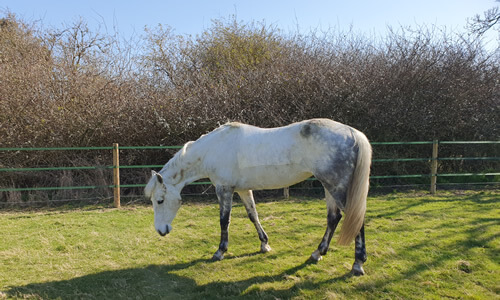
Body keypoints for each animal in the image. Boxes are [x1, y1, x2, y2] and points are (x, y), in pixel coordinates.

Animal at [145, 118, 372, 276]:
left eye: (160, 201)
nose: (161, 231)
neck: (213, 148)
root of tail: (353, 133)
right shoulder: (243, 190)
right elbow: (253, 215)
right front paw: (264, 245)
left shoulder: (224, 189)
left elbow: (224, 221)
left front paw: (220, 252)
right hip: (329, 186)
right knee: (333, 218)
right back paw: (317, 254)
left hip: (336, 187)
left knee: (355, 218)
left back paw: (357, 264)